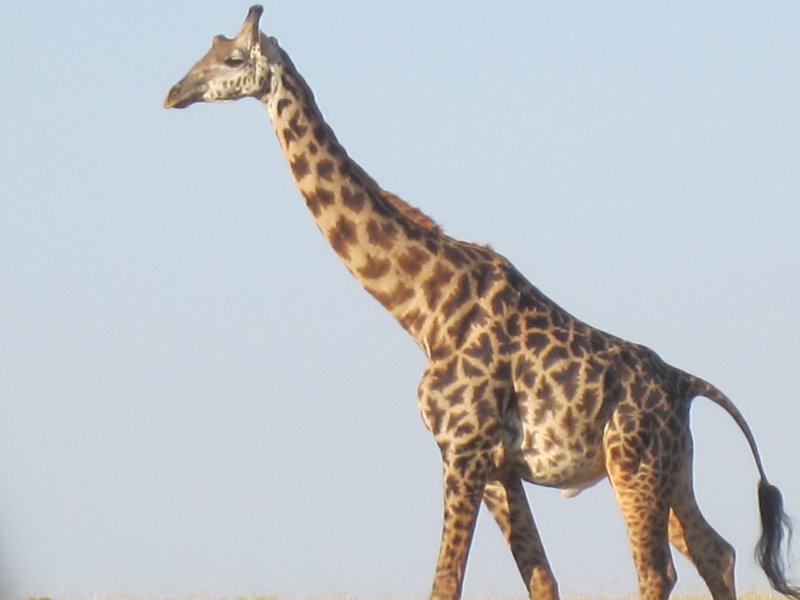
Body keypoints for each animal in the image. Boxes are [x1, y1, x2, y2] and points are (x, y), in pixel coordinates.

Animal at [163, 6, 799, 600]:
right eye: (207, 50)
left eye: (233, 59)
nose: (174, 93)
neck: (423, 307)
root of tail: (686, 385)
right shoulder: (496, 468)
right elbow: (541, 580)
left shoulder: (463, 451)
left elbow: (447, 583)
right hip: (672, 469)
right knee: (716, 551)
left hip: (633, 464)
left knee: (659, 570)